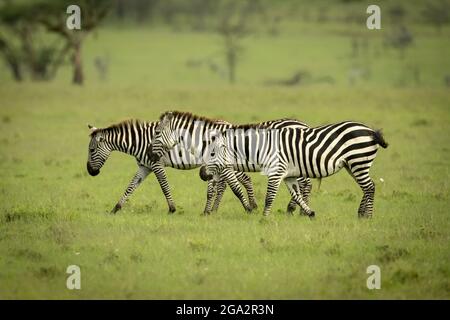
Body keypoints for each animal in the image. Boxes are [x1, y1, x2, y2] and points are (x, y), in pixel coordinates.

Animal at [86, 120, 258, 215]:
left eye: (91, 150)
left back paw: (251, 206)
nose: (90, 172)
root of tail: (230, 124)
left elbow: (164, 186)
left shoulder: (156, 165)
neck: (139, 141)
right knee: (232, 182)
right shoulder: (144, 167)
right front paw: (115, 209)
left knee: (243, 178)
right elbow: (130, 187)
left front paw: (172, 209)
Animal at [148, 111, 312, 214]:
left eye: (157, 132)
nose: (149, 154)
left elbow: (233, 188)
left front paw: (248, 209)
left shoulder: (224, 165)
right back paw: (300, 209)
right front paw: (208, 212)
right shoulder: (216, 166)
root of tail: (303, 124)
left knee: (305, 183)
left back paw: (296, 209)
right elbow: (214, 189)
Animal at [206, 120, 388, 218]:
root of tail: (371, 131)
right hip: (353, 164)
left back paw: (368, 216)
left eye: (211, 153)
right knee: (367, 187)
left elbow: (263, 194)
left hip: (358, 161)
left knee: (369, 187)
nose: (202, 174)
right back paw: (361, 214)